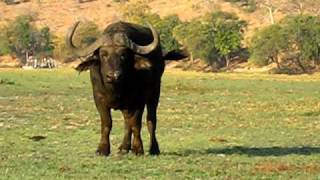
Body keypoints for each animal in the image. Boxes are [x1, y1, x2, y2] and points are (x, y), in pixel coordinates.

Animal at [66, 21, 189, 156]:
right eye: (103, 55)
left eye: (123, 55)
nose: (114, 76)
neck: (116, 89)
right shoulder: (99, 100)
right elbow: (107, 123)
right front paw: (103, 149)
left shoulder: (138, 101)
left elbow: (136, 124)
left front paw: (137, 148)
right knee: (127, 122)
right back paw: (124, 147)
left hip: (155, 93)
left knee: (150, 120)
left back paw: (153, 148)